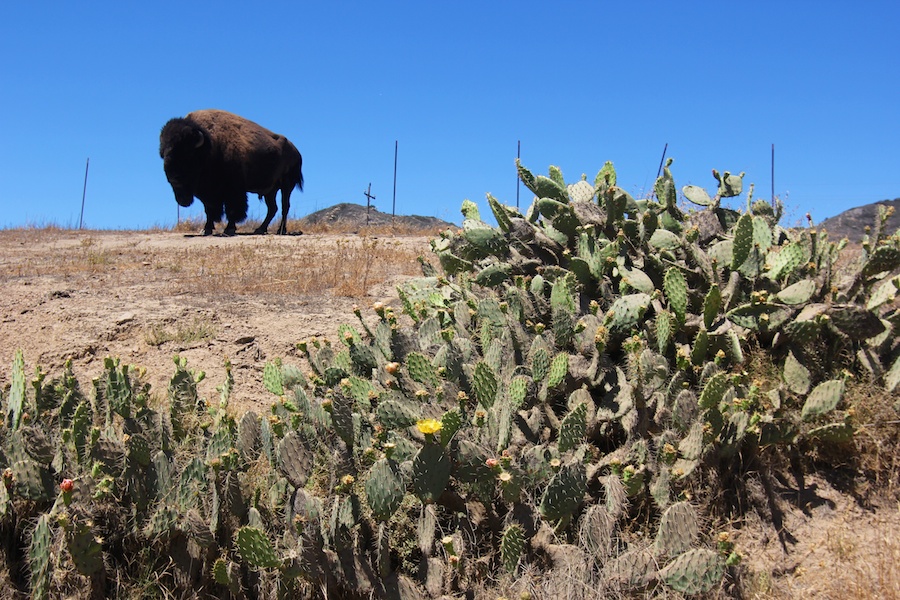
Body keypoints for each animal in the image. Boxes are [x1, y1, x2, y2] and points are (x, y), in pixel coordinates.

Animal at [160, 109, 304, 236]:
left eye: (187, 154)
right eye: (163, 154)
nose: (173, 177)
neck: (210, 146)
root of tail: (296, 152)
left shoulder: (233, 190)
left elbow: (232, 209)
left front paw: (229, 229)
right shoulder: (208, 193)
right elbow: (209, 210)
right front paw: (206, 229)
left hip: (286, 186)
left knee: (285, 206)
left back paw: (280, 230)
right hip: (271, 191)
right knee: (273, 208)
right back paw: (260, 229)